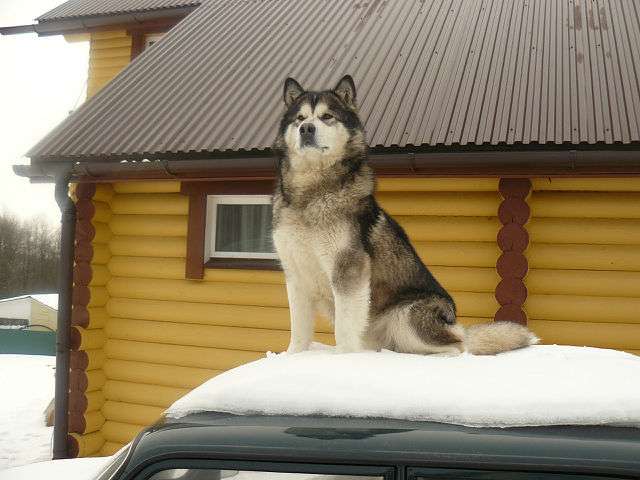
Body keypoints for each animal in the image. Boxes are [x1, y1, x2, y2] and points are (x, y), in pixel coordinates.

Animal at [272, 76, 540, 356]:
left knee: (458, 347)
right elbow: (299, 330)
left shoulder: (348, 270)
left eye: (326, 116)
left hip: (407, 316)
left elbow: (344, 329)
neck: (310, 194)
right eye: (300, 118)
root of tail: (454, 322)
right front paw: (293, 356)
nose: (306, 129)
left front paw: (344, 359)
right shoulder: (296, 275)